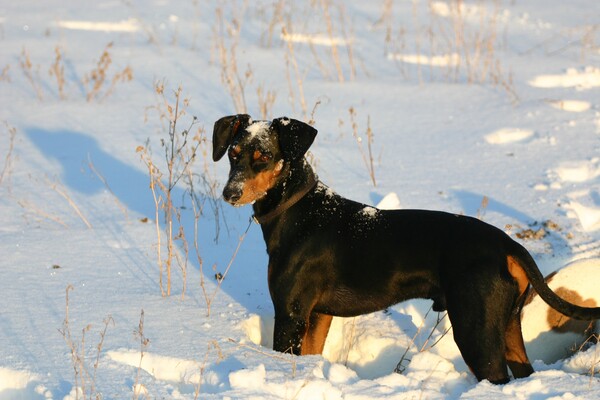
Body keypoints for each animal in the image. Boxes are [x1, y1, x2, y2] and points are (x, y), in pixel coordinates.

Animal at [211, 114, 600, 382]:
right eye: (233, 153)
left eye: (263, 156)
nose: (230, 193)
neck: (298, 212)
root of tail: (509, 245)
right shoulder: (318, 316)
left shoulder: (290, 315)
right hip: (505, 326)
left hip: (474, 330)